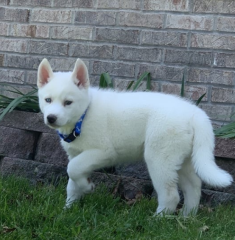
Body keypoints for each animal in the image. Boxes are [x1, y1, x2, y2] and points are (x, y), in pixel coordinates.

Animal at [37, 58, 232, 216]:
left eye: (68, 103)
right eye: (48, 100)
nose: (51, 118)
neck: (83, 116)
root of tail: (195, 113)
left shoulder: (103, 152)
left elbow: (73, 169)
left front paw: (87, 187)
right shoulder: (76, 154)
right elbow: (72, 180)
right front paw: (69, 208)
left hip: (159, 159)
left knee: (171, 195)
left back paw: (158, 220)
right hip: (182, 159)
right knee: (193, 187)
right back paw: (187, 217)